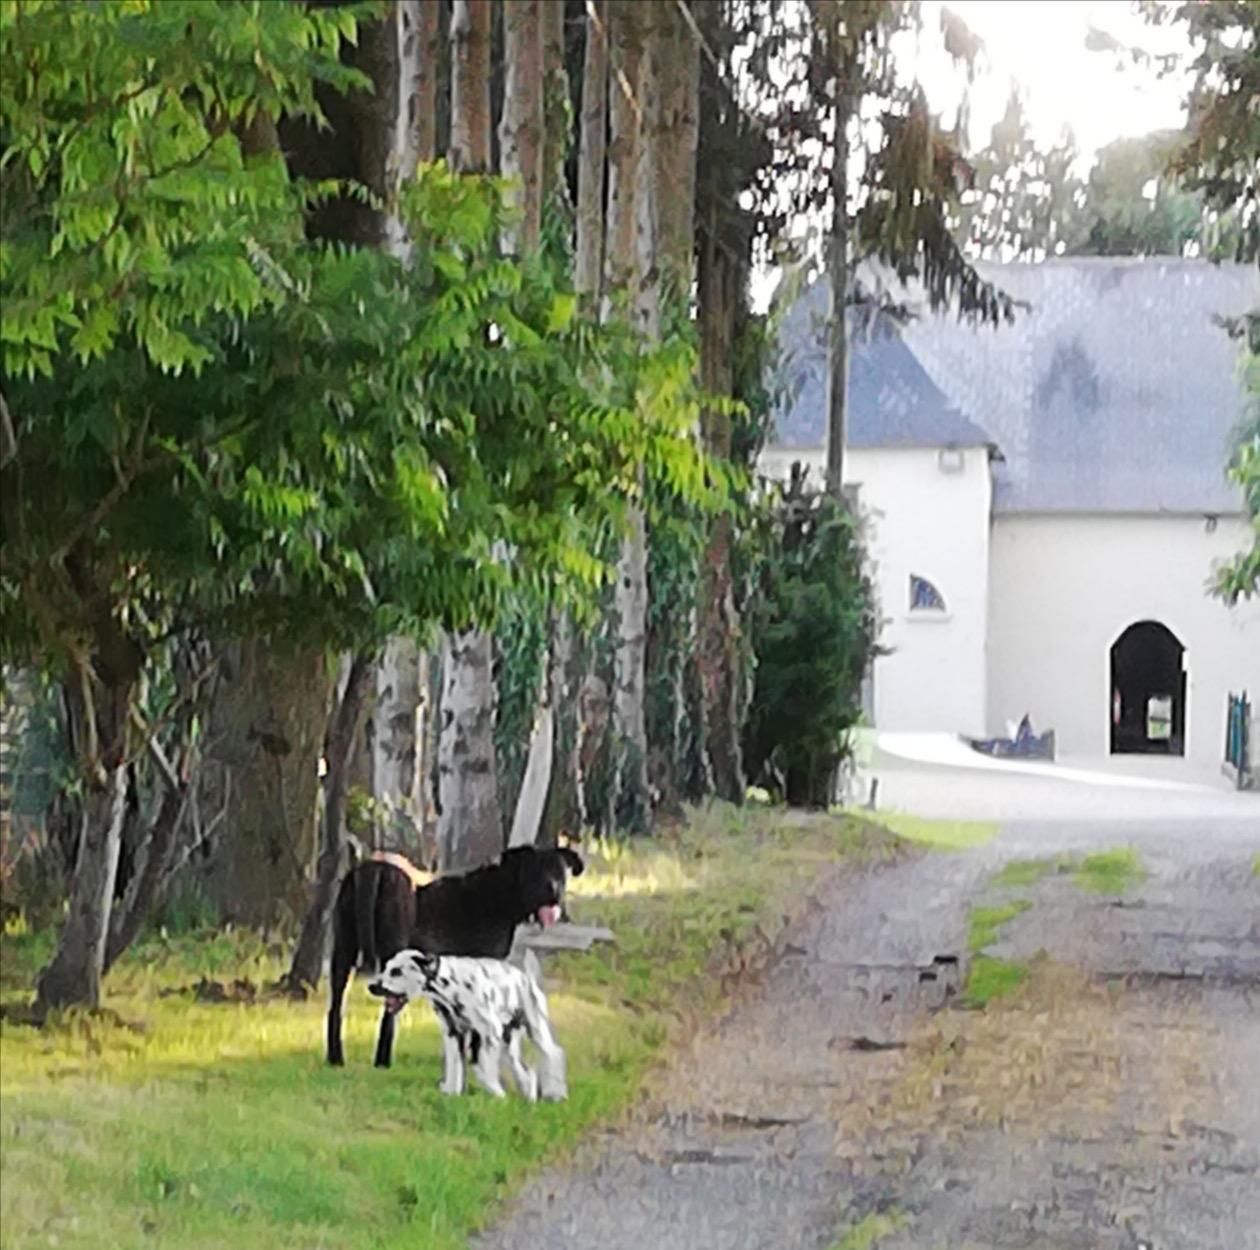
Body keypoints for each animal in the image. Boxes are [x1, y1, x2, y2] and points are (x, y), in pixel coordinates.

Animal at [322, 841, 582, 1063]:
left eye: (559, 872)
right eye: (536, 872)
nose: (553, 889)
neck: (500, 894)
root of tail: (374, 867)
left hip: (342, 953)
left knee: (336, 1007)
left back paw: (335, 1058)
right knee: (388, 1011)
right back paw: (382, 1061)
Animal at [367, 952, 567, 1098]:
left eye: (396, 971)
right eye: (386, 967)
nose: (372, 986)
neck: (451, 987)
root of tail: (526, 978)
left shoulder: (488, 1034)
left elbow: (485, 1070)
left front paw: (496, 1093)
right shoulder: (454, 1035)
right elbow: (455, 1068)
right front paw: (451, 1093)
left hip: (536, 1031)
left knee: (553, 1054)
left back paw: (555, 1093)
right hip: (509, 1044)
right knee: (527, 1073)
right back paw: (530, 1098)